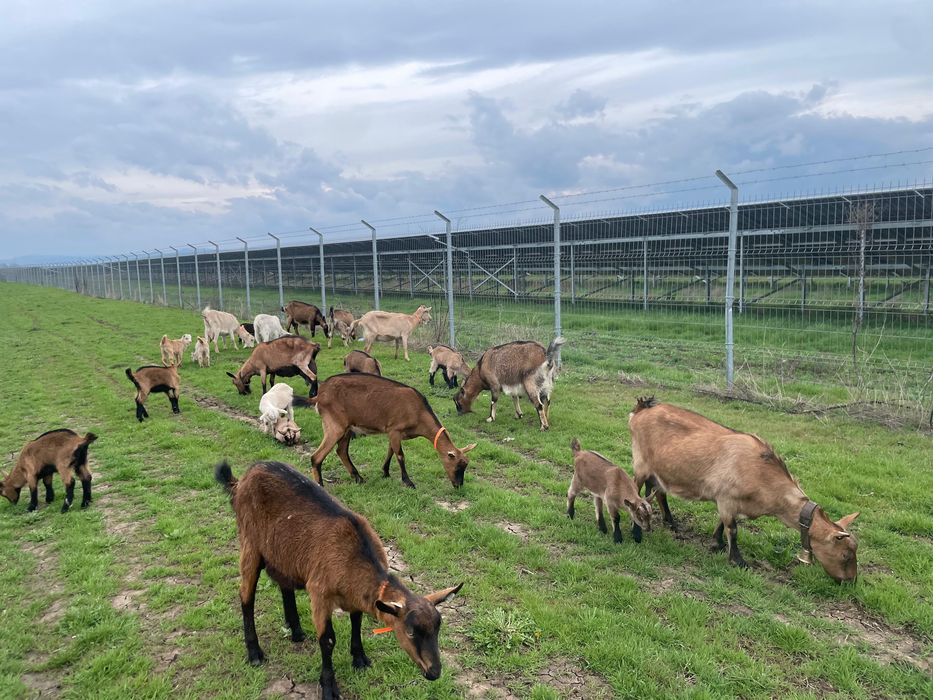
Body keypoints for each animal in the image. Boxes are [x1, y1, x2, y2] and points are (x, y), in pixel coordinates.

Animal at [215, 460, 462, 698]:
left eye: (437, 629)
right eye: (410, 631)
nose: (434, 672)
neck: (352, 557)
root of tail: (242, 479)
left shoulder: (355, 596)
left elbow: (357, 622)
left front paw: (360, 659)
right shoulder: (319, 593)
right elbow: (327, 640)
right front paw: (328, 687)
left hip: (283, 553)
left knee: (285, 585)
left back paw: (296, 631)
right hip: (250, 544)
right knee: (246, 596)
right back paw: (255, 653)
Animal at [300, 373, 476, 489]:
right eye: (458, 466)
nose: (459, 485)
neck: (418, 412)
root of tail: (320, 395)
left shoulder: (393, 433)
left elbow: (391, 451)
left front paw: (385, 472)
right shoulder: (395, 429)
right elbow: (400, 455)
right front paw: (408, 482)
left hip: (347, 428)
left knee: (341, 451)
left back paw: (358, 478)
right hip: (335, 425)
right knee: (316, 457)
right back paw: (320, 485)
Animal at [629, 397, 860, 581]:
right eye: (845, 555)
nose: (849, 581)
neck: (762, 475)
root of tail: (641, 410)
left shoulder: (728, 501)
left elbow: (723, 524)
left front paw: (717, 544)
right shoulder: (726, 498)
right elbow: (733, 529)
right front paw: (738, 560)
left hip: (659, 470)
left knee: (658, 491)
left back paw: (671, 523)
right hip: (641, 464)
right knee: (636, 489)